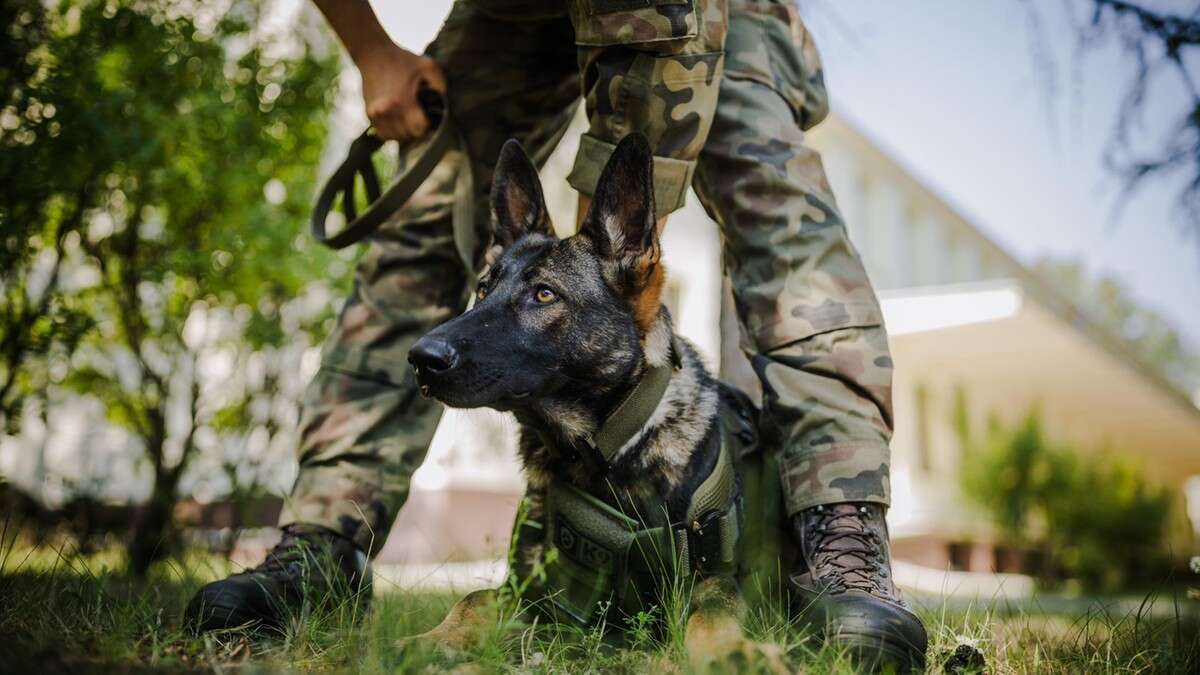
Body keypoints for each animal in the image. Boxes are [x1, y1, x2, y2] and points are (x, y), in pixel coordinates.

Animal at [408, 132, 792, 667]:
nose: (420, 358)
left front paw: (733, 653)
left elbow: (712, 614)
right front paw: (428, 640)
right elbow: (472, 599)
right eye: (483, 290)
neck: (605, 452)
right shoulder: (535, 594)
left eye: (544, 295)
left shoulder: (711, 580)